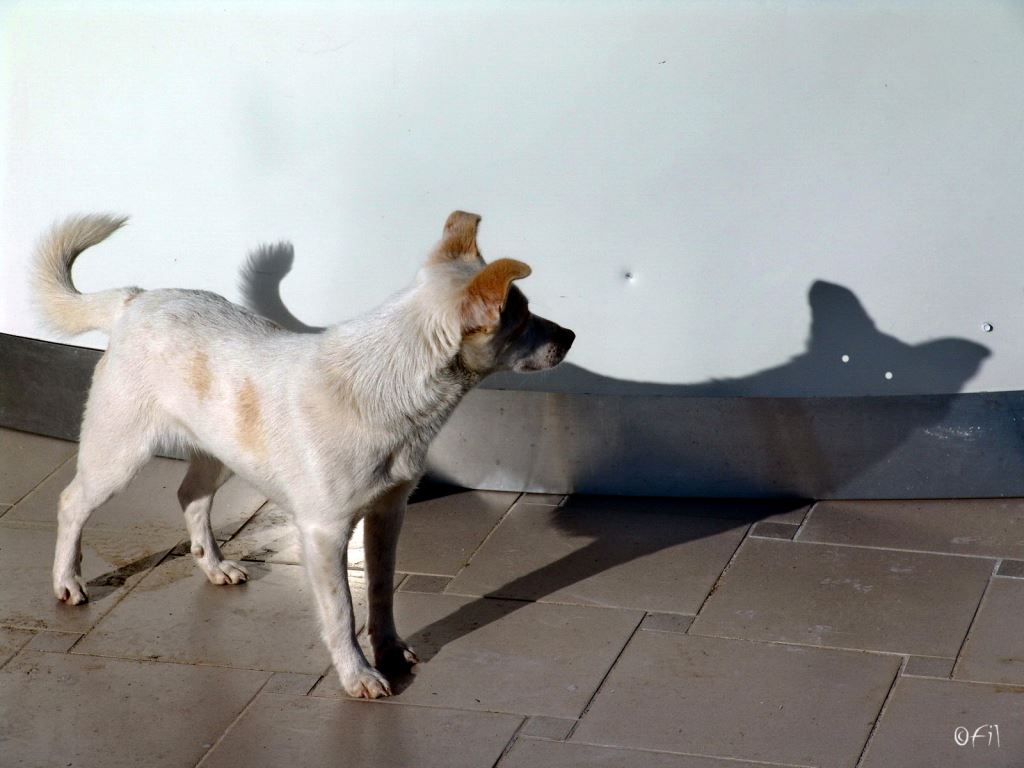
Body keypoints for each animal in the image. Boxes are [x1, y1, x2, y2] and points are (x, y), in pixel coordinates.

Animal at [31, 211, 575, 698]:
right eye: (523, 319)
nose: (570, 336)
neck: (386, 386)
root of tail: (135, 299)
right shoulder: (324, 532)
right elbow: (341, 611)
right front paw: (357, 675)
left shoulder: (387, 514)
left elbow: (381, 593)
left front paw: (389, 652)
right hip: (118, 454)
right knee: (71, 502)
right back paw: (67, 581)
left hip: (221, 452)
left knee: (190, 496)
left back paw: (213, 565)